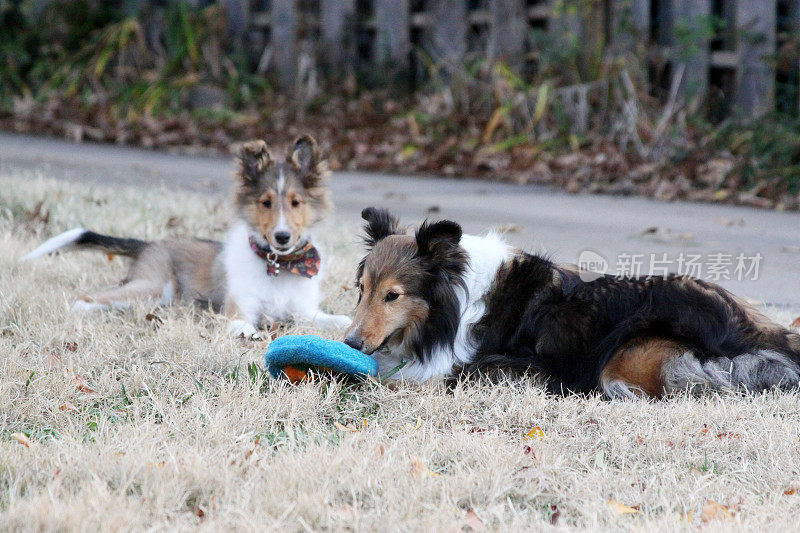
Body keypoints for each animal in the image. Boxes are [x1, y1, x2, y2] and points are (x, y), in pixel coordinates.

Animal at [20, 136, 352, 336]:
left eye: (296, 202)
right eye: (265, 202)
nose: (282, 237)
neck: (279, 265)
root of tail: (152, 244)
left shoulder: (304, 312)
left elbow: (331, 319)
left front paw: (346, 323)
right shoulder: (238, 306)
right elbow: (242, 323)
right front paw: (250, 333)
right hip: (153, 287)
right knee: (88, 297)